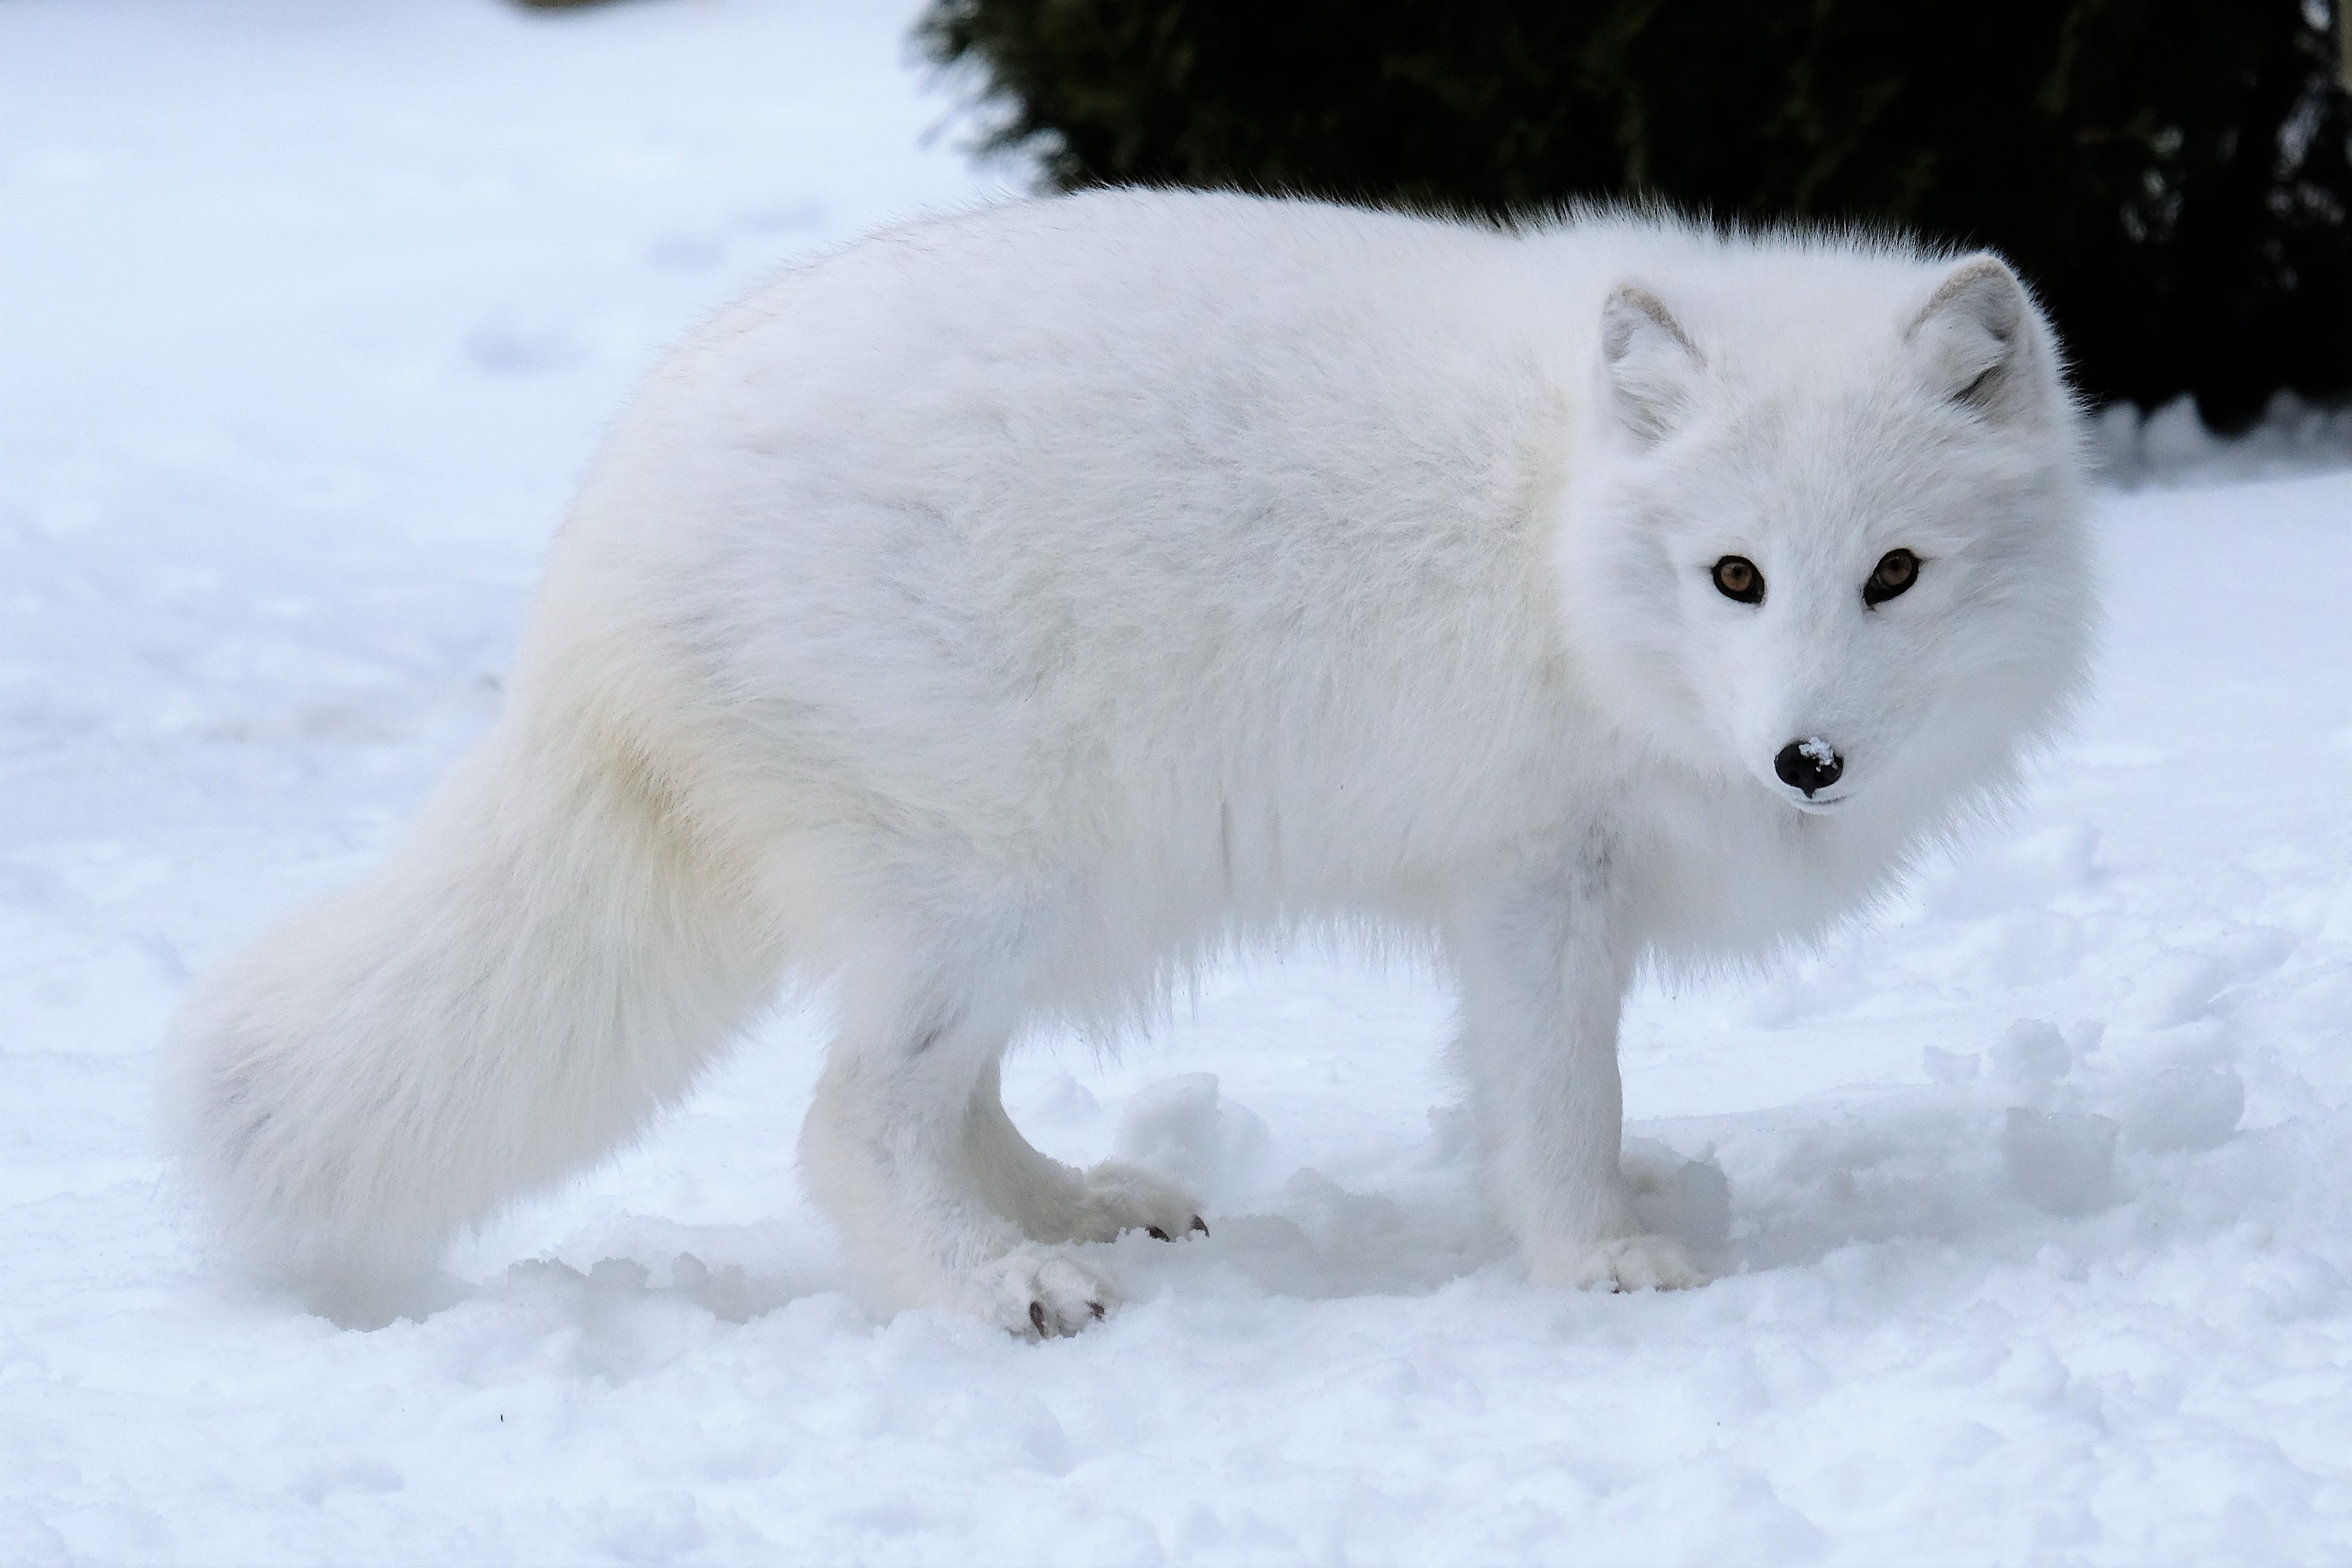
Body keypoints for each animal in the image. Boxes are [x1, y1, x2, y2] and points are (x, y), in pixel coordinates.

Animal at [165, 190, 2092, 1336]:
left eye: (1894, 573)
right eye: (1737, 577)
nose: (1807, 756)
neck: (1556, 529)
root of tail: (596, 546)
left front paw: (1633, 1203)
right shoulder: (1533, 878)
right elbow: (1557, 1099)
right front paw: (1593, 1259)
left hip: (1057, 886)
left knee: (946, 1097)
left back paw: (1082, 1206)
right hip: (993, 882)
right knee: (848, 1119)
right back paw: (994, 1282)